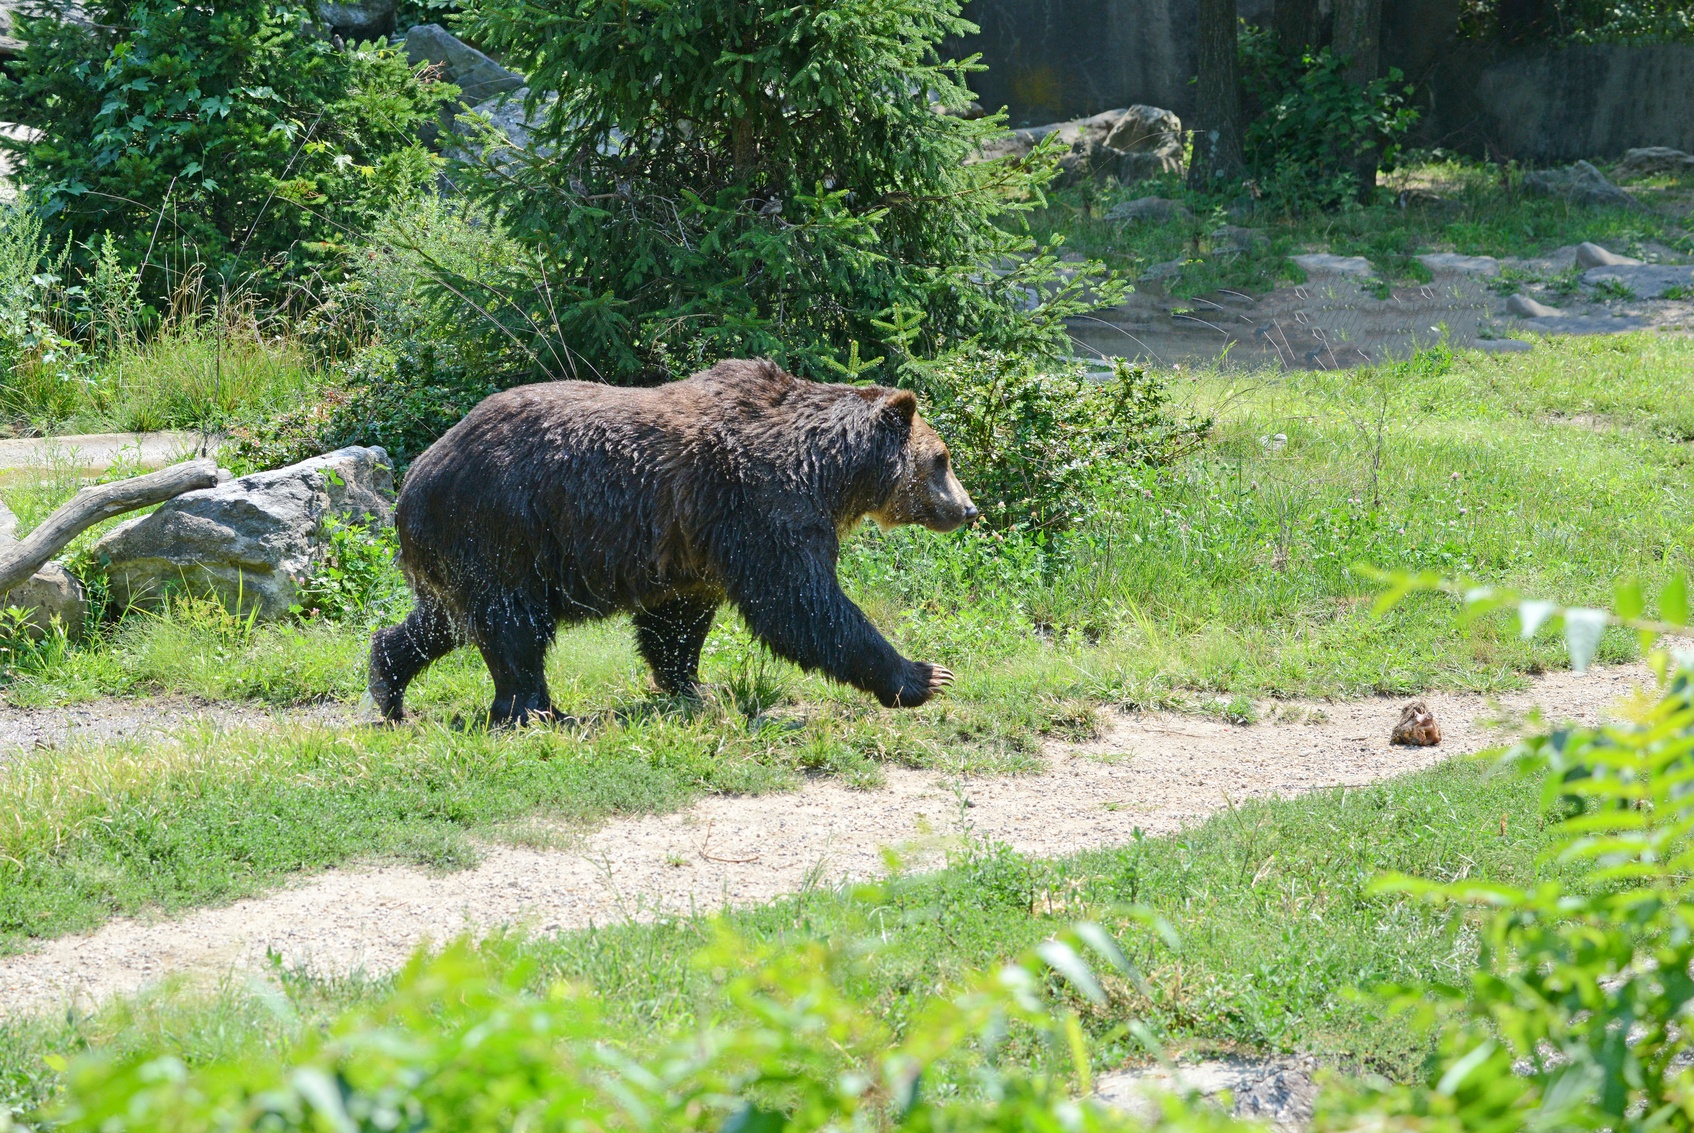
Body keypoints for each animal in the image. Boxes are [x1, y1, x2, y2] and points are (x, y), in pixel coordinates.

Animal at [370, 357, 982, 721]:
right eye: (943, 458)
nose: (969, 509)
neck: (828, 472)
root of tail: (414, 476)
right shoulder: (761, 507)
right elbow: (803, 604)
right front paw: (926, 675)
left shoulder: (695, 542)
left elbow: (678, 622)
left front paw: (692, 687)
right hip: (502, 527)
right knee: (514, 630)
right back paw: (536, 712)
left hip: (463, 551)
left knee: (443, 622)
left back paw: (389, 687)